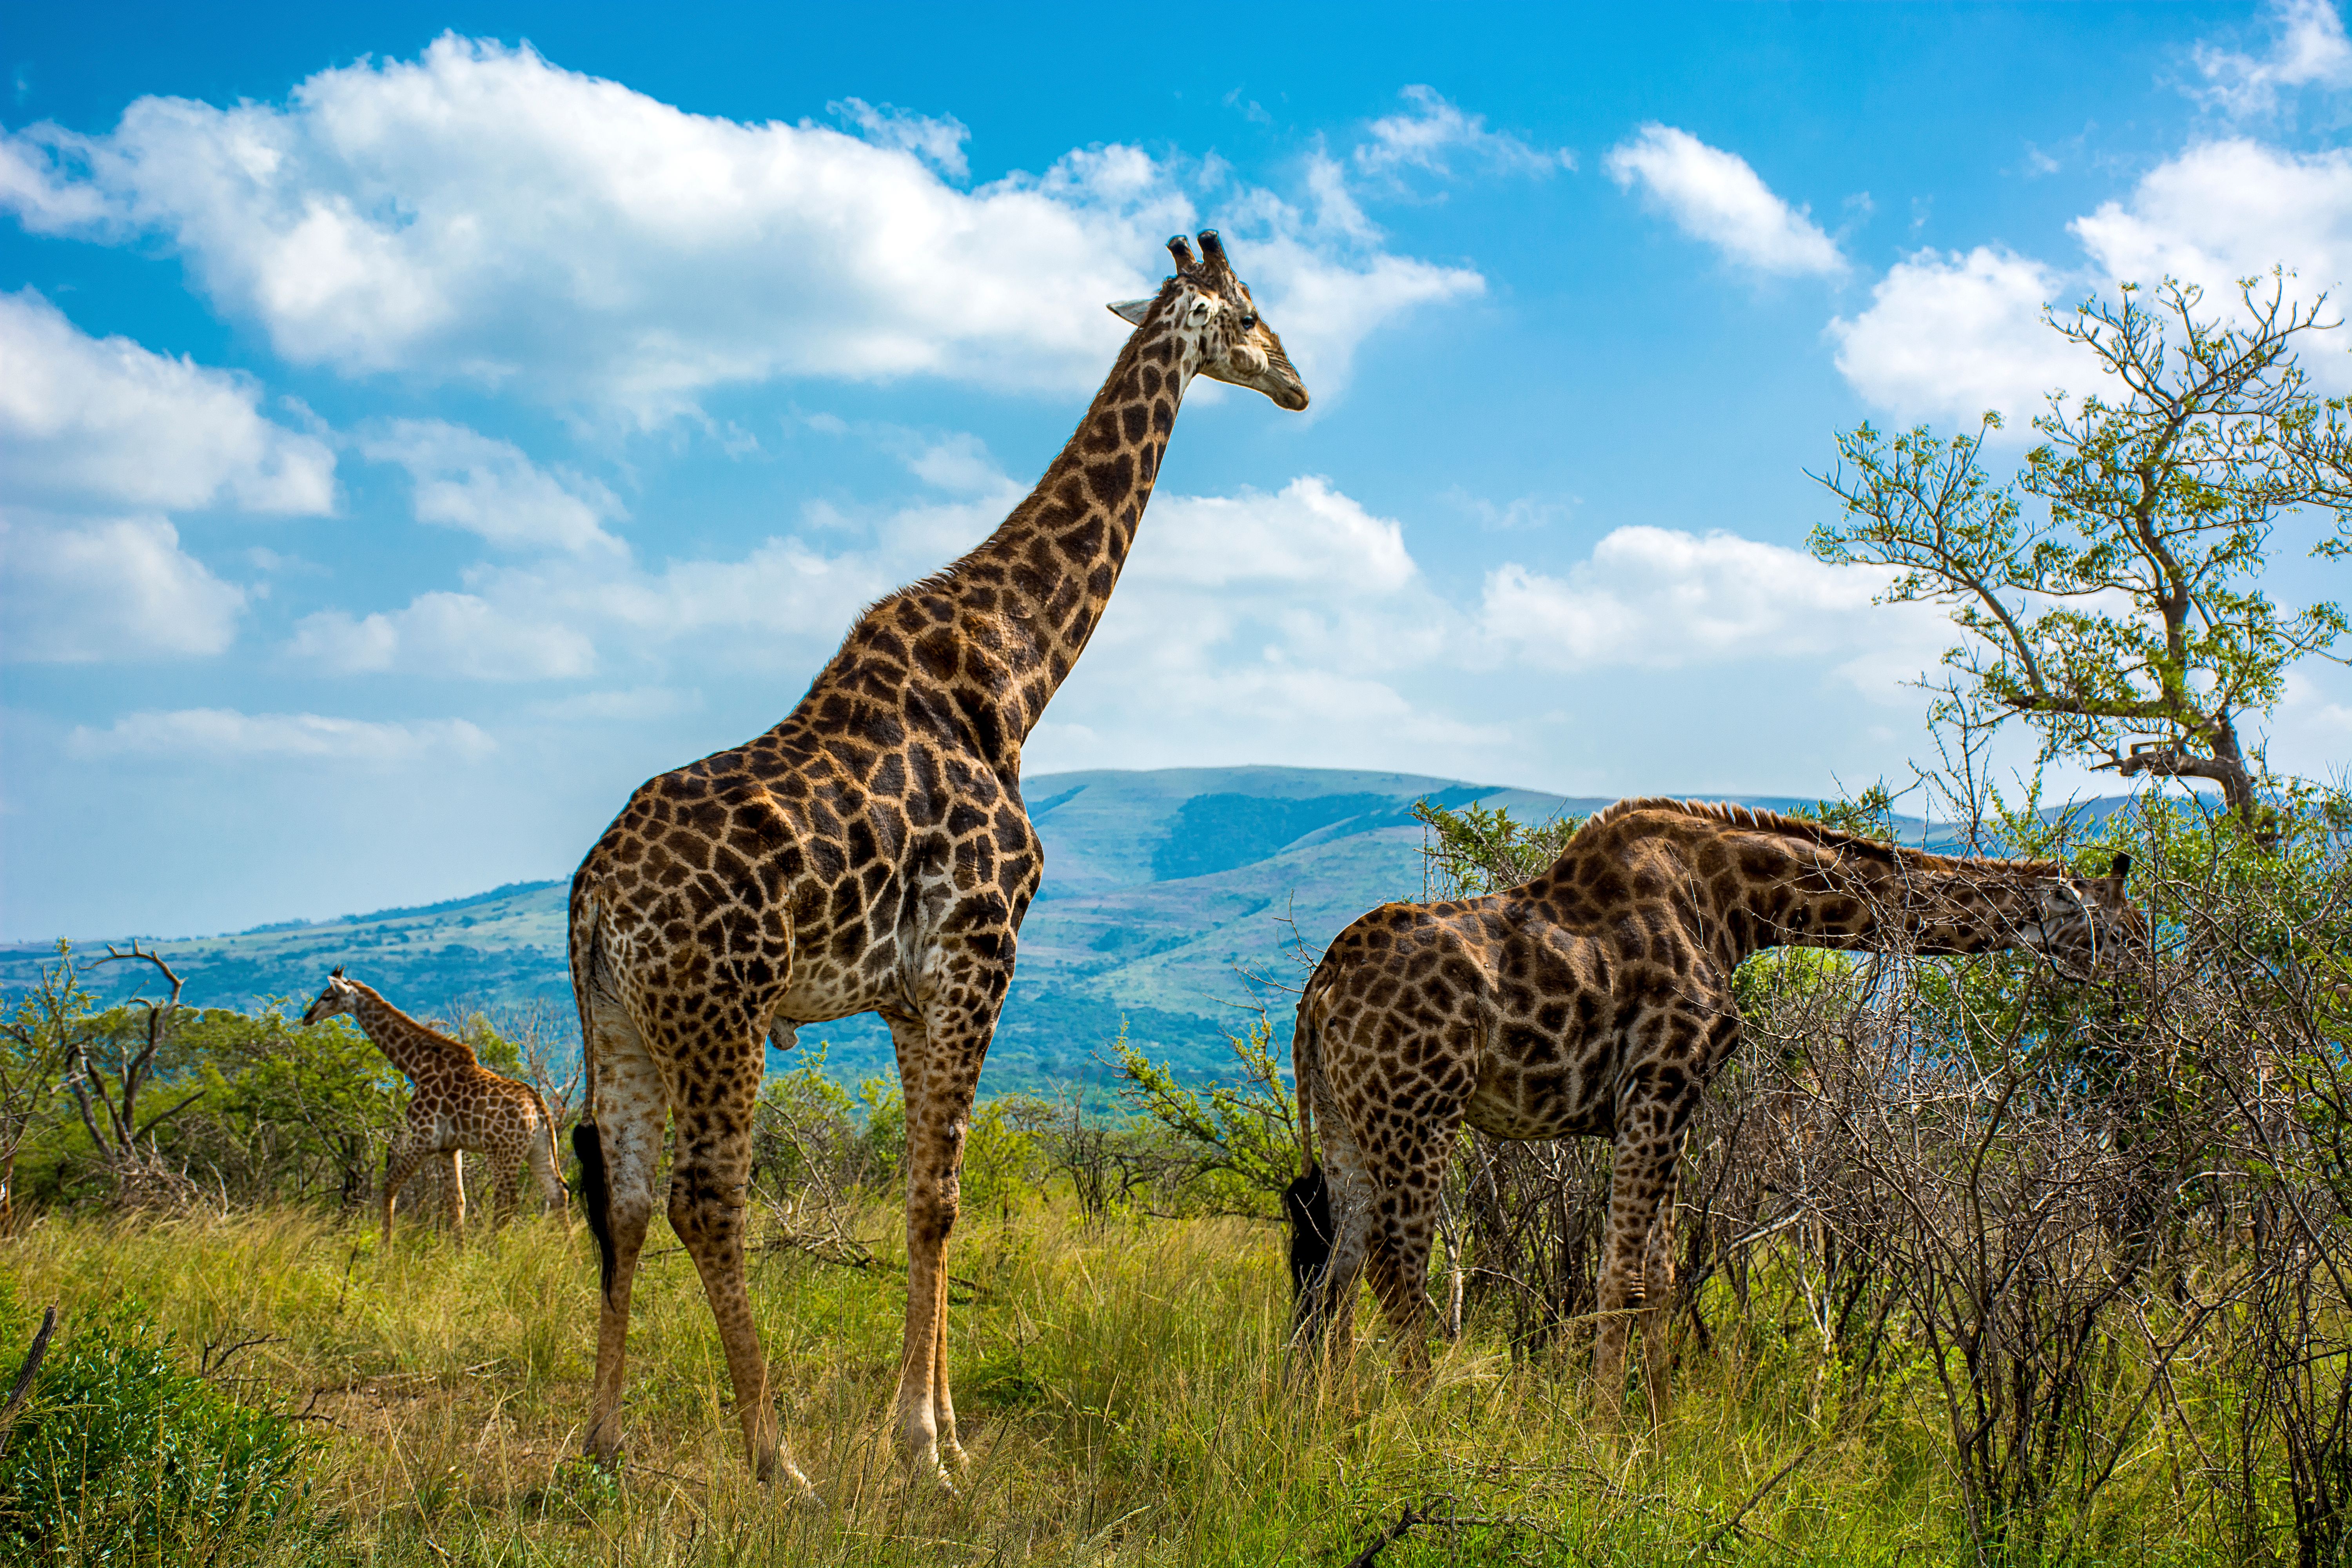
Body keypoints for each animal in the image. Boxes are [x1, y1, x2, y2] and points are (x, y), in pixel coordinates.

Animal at [301, 969, 567, 1243]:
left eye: (327, 996)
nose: (307, 1017)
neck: (418, 1067)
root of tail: (539, 1109)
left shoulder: (424, 1138)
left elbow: (390, 1184)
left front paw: (386, 1249)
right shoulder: (448, 1147)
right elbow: (457, 1202)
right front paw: (459, 1251)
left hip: (502, 1154)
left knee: (507, 1205)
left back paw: (492, 1250)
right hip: (537, 1148)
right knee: (558, 1192)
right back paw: (569, 1251)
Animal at [567, 231, 1309, 1488]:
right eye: (1251, 314)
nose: (1300, 385)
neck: (1016, 671)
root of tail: (590, 901)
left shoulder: (912, 993)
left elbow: (930, 1186)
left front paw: (945, 1428)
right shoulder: (978, 955)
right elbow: (938, 1200)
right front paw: (919, 1443)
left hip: (618, 1021)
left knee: (617, 1199)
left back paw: (604, 1444)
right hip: (719, 1016)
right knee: (704, 1201)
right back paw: (779, 1464)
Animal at [1286, 798, 2143, 1421]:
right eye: (2126, 930)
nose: (2145, 988)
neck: (1737, 904)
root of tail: (1319, 991)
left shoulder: (1668, 1100)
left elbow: (1661, 1277)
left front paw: (1660, 1438)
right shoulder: (1662, 1080)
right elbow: (1622, 1277)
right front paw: (1604, 1436)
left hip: (1345, 1119)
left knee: (1336, 1264)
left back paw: (1325, 1423)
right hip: (1420, 1114)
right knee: (1396, 1266)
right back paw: (1422, 1419)